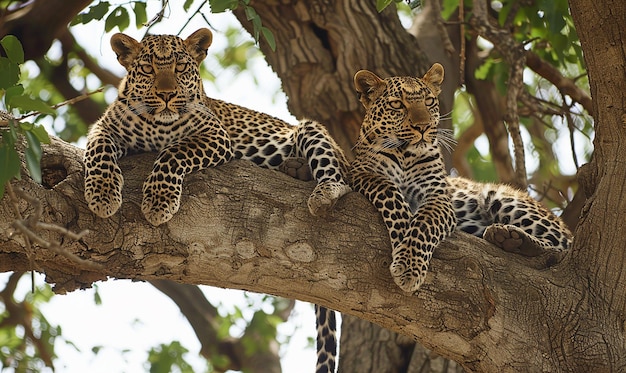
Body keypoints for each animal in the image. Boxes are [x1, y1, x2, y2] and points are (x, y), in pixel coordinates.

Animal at [81, 27, 352, 225]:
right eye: (148, 69)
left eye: (180, 67)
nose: (166, 95)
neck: (158, 125)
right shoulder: (104, 127)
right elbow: (99, 151)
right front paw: (102, 195)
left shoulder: (216, 136)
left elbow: (172, 152)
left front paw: (159, 201)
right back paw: (296, 168)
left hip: (311, 130)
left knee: (339, 179)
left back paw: (322, 194)